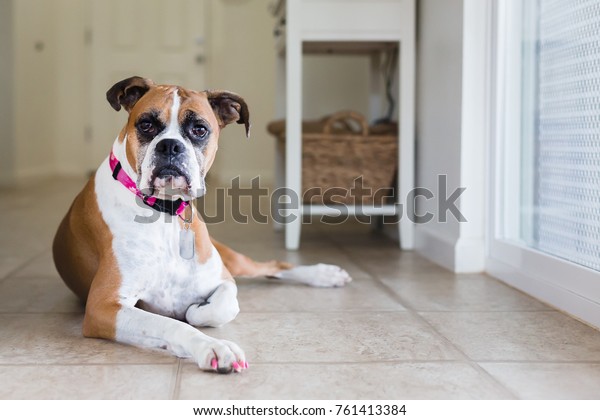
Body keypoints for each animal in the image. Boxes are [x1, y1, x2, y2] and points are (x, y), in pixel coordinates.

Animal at [52, 77, 352, 372]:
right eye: (146, 125)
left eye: (199, 130)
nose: (170, 145)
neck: (167, 214)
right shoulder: (103, 306)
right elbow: (171, 324)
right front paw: (213, 347)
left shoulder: (223, 279)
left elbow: (221, 306)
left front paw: (196, 311)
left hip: (234, 261)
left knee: (274, 266)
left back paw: (325, 274)